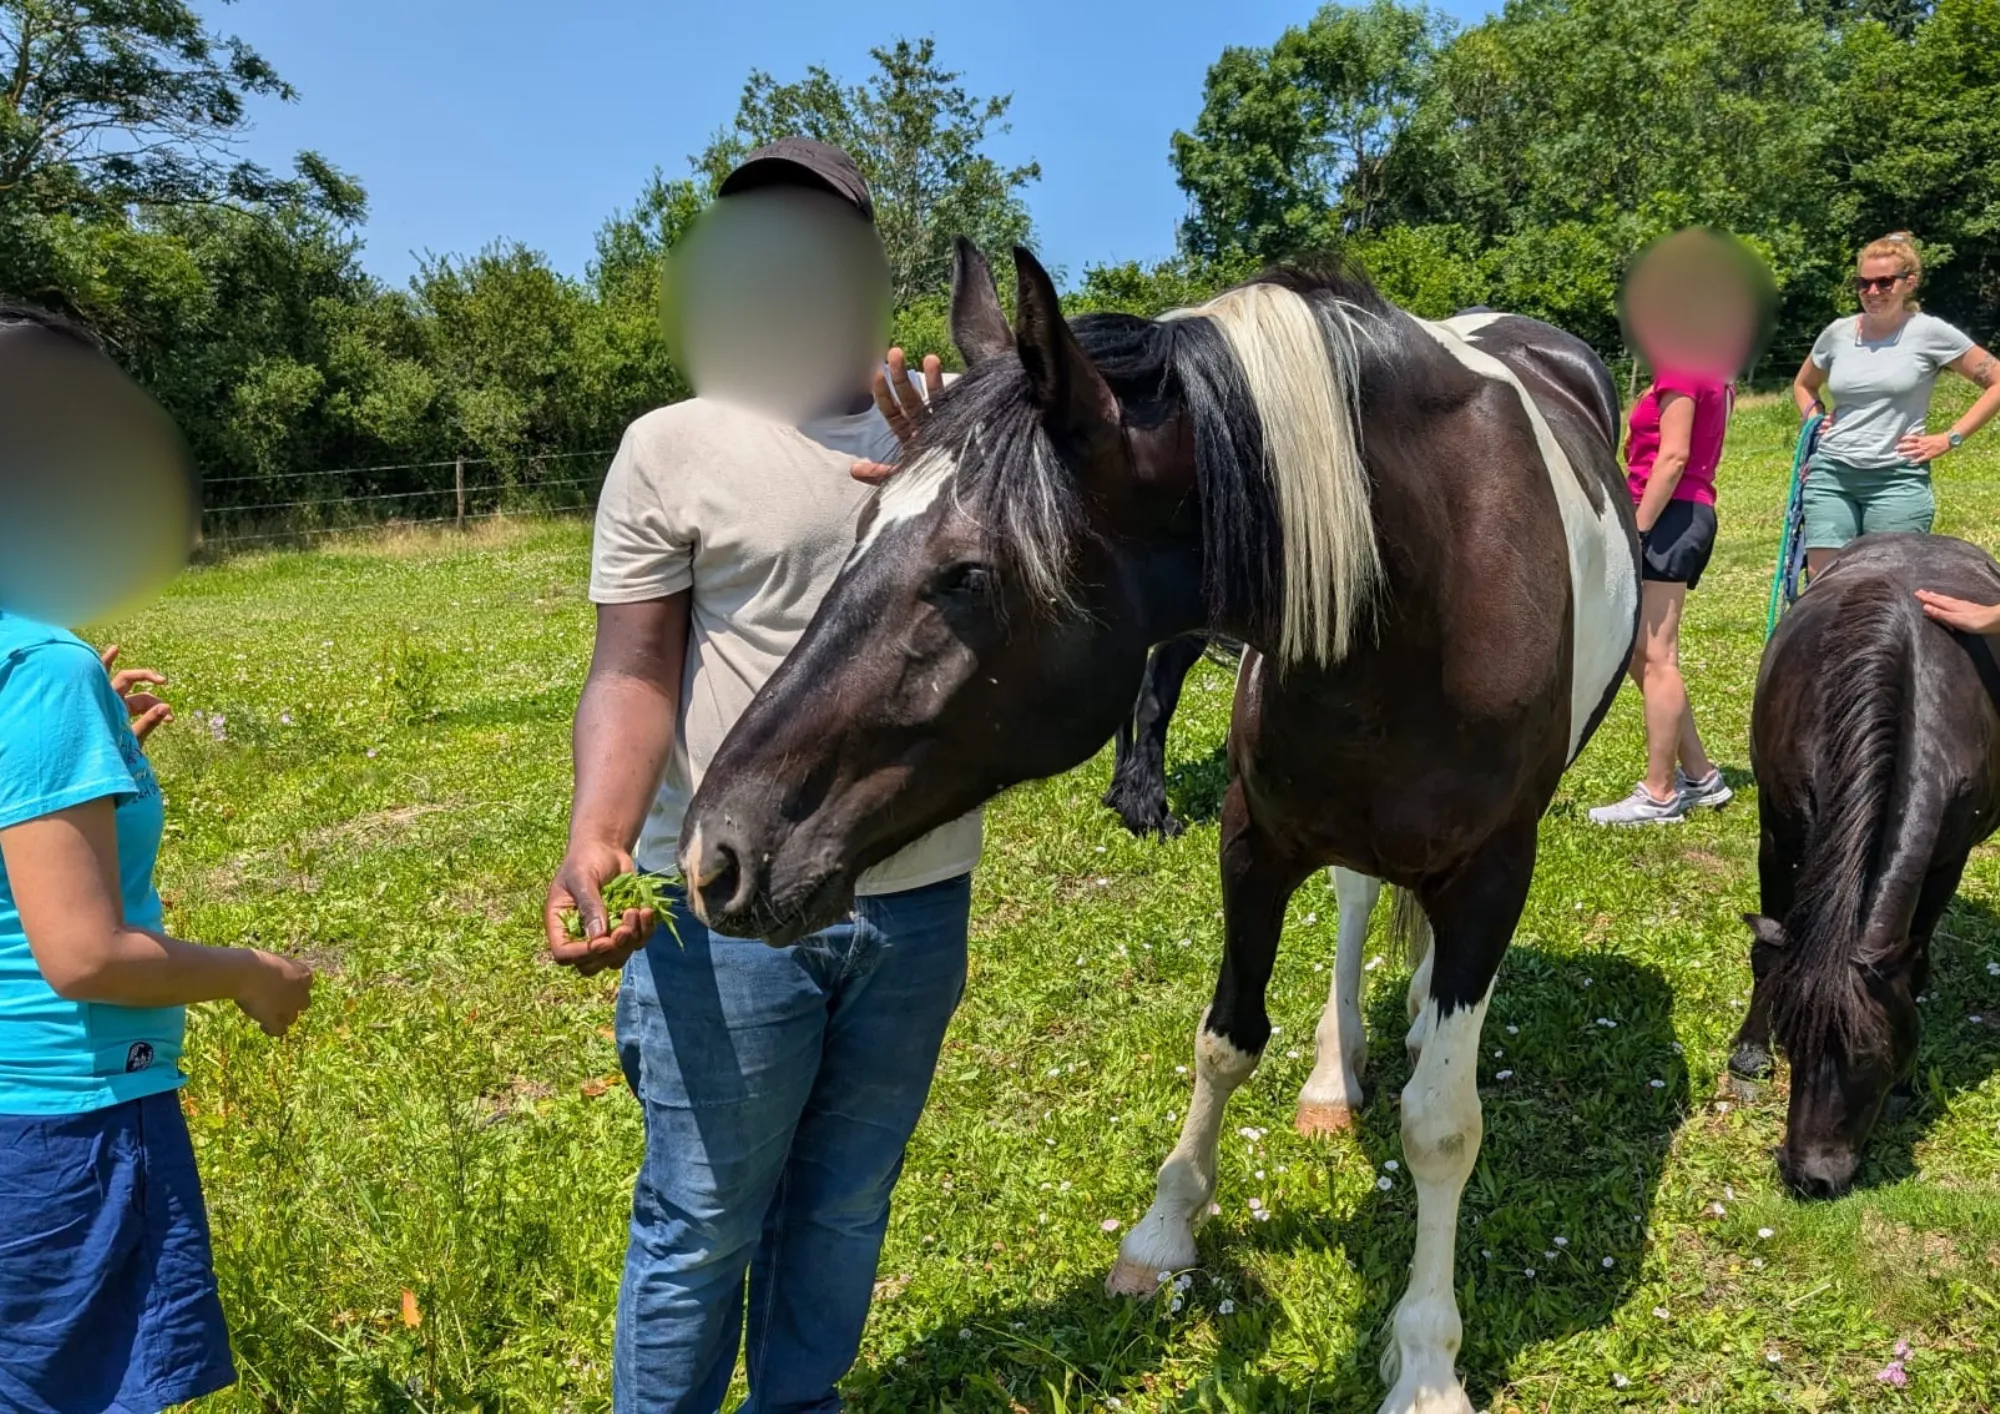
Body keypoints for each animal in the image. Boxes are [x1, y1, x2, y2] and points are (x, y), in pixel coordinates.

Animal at [678, 240, 1639, 1414]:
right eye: (856, 535)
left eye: (966, 575)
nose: (719, 850)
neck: (1424, 587)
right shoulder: (1254, 838)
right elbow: (1224, 1042)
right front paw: (1165, 1228)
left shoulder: (1494, 871)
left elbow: (1441, 1125)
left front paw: (1424, 1362)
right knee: (1360, 898)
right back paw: (1338, 1070)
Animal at [1728, 533, 2000, 1197]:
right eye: (1793, 1041)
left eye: (1875, 1058)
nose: (1811, 1177)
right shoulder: (1777, 832)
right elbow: (1769, 951)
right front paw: (1749, 1055)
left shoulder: (1946, 860)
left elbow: (1917, 963)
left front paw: (1907, 1088)